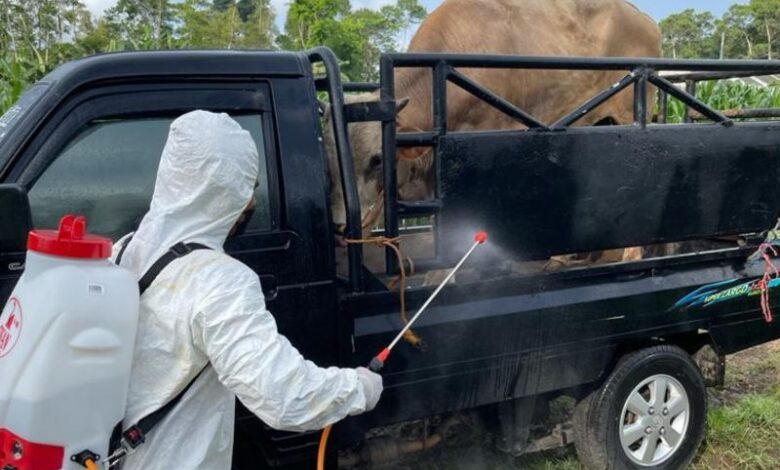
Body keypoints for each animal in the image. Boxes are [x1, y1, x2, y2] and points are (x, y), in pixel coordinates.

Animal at [326, 0, 660, 272]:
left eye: (377, 159)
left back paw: (629, 256)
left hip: (631, 117)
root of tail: (644, 19)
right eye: (330, 162)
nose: (340, 228)